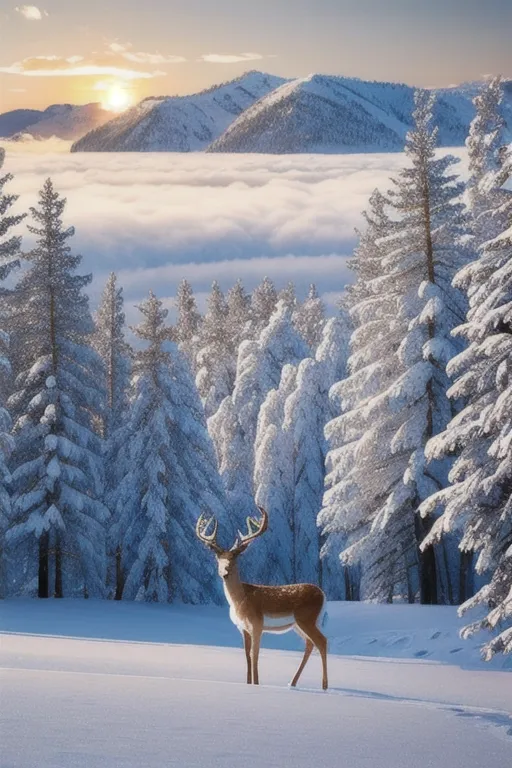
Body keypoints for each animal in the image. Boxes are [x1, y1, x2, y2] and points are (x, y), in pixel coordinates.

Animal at [196, 504, 328, 688]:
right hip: (299, 624)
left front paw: (257, 684)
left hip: (307, 618)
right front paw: (248, 683)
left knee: (322, 642)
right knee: (310, 644)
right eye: (218, 558)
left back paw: (324, 686)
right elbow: (247, 657)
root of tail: (322, 594)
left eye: (234, 558)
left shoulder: (257, 624)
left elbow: (255, 656)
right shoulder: (243, 628)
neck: (240, 600)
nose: (224, 572)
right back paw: (292, 683)